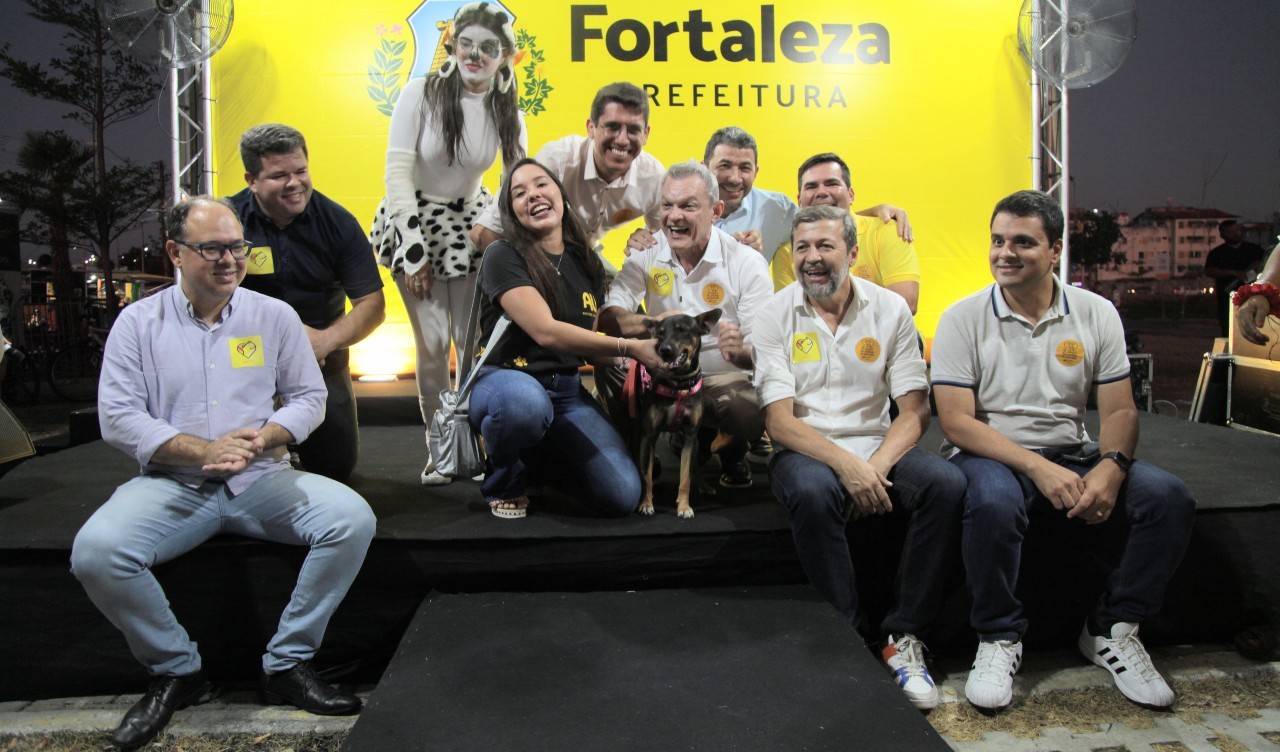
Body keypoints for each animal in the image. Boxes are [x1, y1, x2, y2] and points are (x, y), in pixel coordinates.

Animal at [632, 309, 721, 516]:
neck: (679, 384)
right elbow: (646, 476)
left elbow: (685, 477)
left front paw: (684, 506)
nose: (665, 349)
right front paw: (646, 504)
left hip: (694, 442)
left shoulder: (690, 436)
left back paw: (704, 485)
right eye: (660, 334)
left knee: (695, 466)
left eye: (682, 330)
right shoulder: (649, 436)